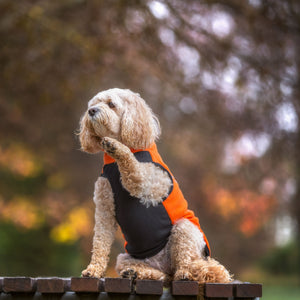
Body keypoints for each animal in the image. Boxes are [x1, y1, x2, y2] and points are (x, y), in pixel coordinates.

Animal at [78, 87, 231, 284]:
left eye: (111, 104)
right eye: (93, 104)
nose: (91, 111)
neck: (114, 162)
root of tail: (164, 265)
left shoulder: (145, 182)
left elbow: (131, 165)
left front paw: (116, 147)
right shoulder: (105, 209)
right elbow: (100, 243)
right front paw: (93, 270)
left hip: (185, 229)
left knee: (186, 264)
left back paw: (184, 274)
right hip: (125, 257)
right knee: (163, 276)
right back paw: (135, 272)